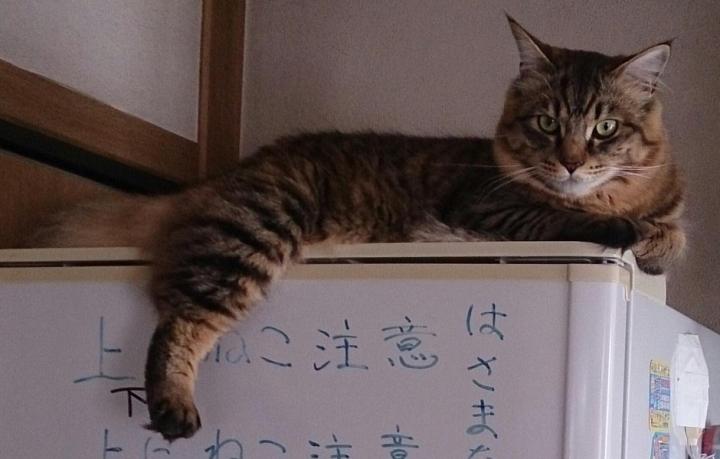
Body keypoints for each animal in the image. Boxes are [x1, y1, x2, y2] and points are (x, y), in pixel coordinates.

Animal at [41, 16, 685, 440]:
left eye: (604, 128)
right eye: (547, 123)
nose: (571, 162)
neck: (614, 194)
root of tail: (235, 170)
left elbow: (671, 237)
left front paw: (652, 242)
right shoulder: (492, 210)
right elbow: (572, 215)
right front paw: (622, 228)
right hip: (258, 231)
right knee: (181, 319)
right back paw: (173, 407)